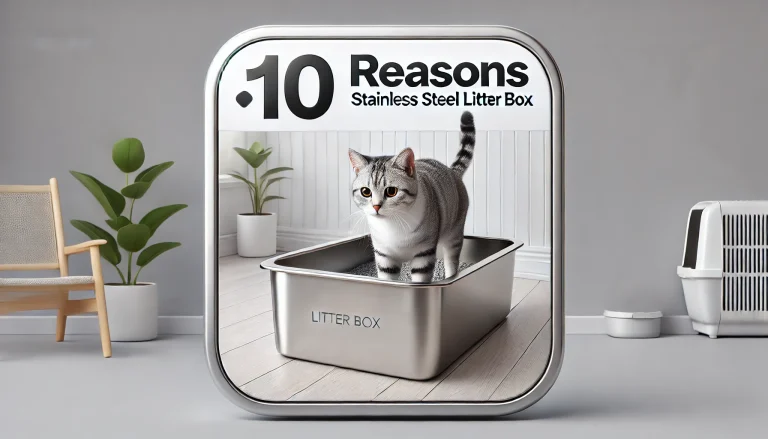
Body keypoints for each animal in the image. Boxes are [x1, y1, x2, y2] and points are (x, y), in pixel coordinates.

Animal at [348, 109, 474, 282]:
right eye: (365, 192)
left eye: (391, 191)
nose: (376, 206)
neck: (392, 225)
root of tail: (452, 171)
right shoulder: (384, 258)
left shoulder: (424, 255)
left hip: (454, 234)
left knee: (451, 261)